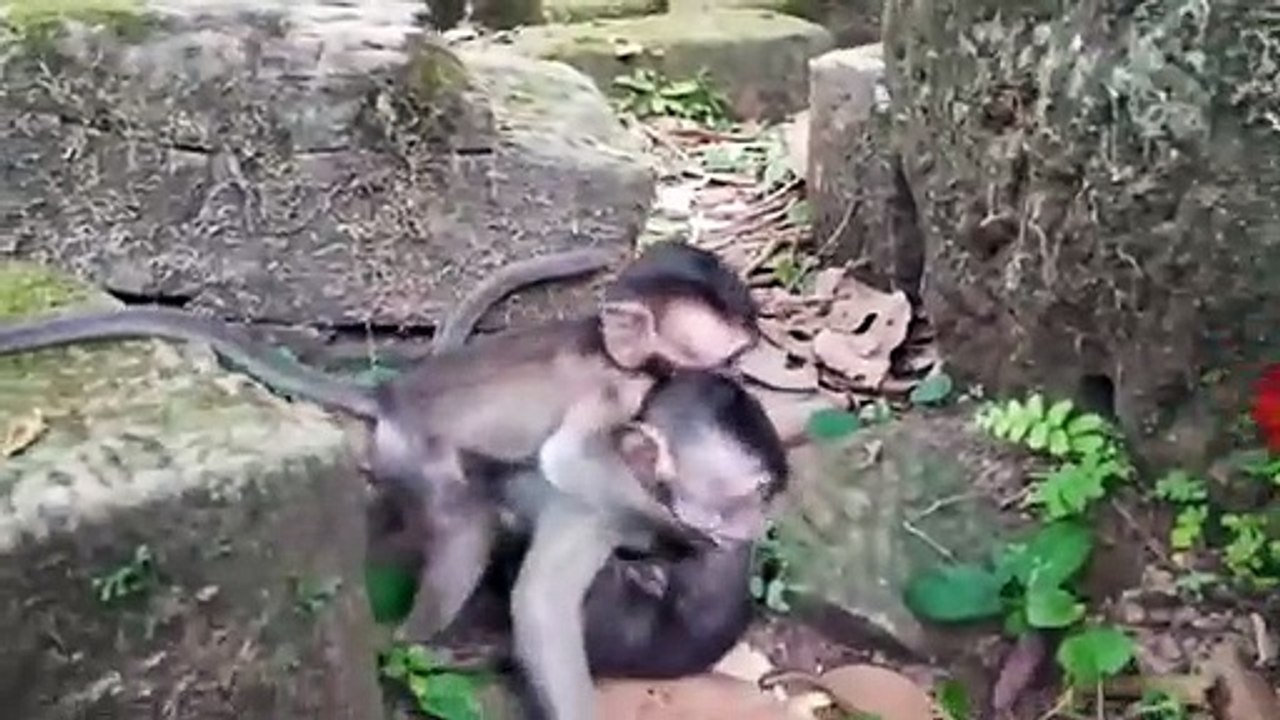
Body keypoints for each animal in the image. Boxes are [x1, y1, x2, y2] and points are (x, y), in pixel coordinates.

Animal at [0, 241, 761, 642]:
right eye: (723, 355)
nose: (736, 378)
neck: (612, 352)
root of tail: (393, 397)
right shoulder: (611, 390)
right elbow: (568, 459)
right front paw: (677, 530)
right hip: (419, 456)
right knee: (465, 523)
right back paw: (416, 642)